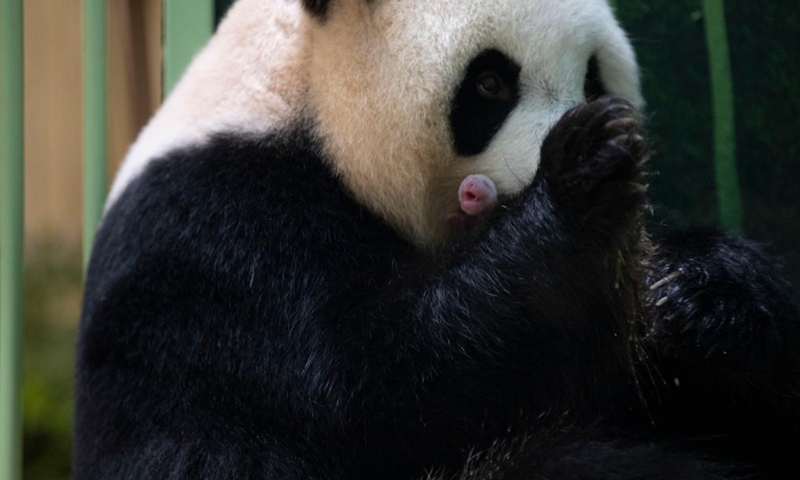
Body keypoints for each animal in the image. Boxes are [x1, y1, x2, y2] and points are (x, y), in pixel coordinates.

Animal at [76, 0, 800, 479]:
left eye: (596, 77)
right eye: (490, 82)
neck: (300, 96)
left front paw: (703, 292)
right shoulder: (221, 238)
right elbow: (381, 394)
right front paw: (585, 174)